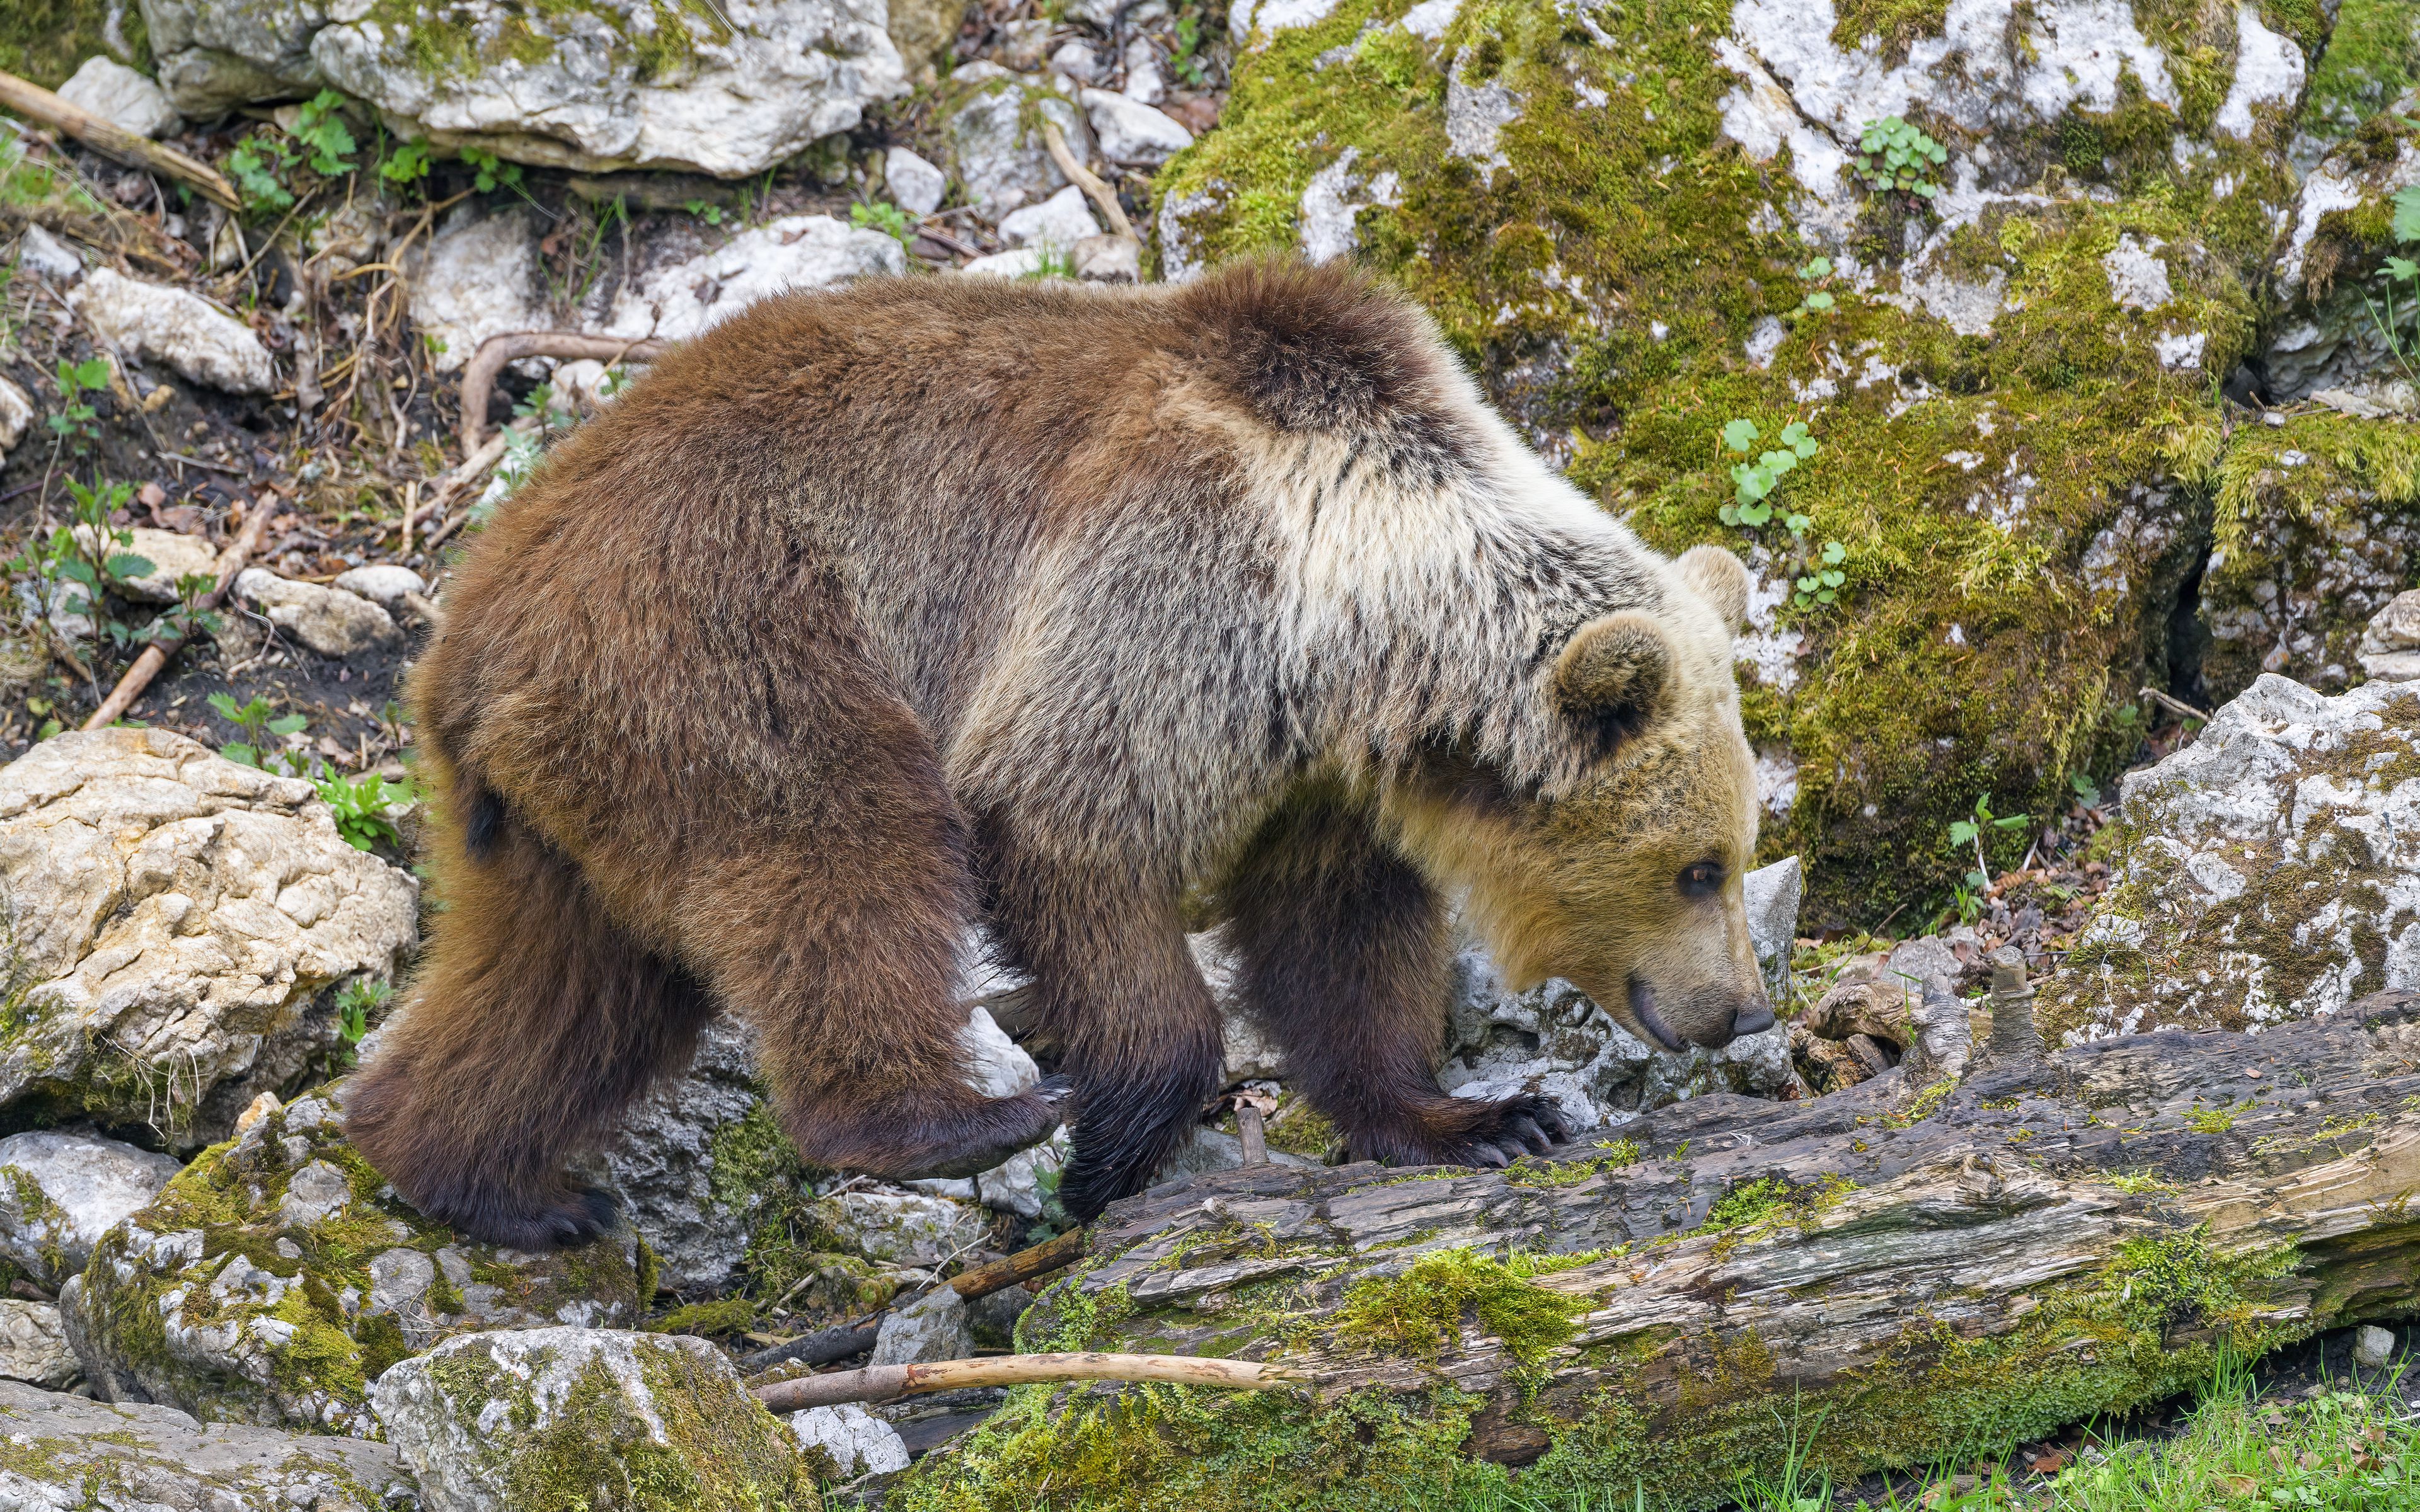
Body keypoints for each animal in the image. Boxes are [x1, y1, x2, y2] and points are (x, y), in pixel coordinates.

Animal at [350, 262, 1771, 1248]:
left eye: (1734, 848)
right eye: (1699, 866)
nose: (1745, 1007)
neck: (1341, 615)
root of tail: (471, 620)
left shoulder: (1312, 774)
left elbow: (1339, 939)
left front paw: (1478, 1118)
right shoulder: (1169, 588)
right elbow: (1063, 824)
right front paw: (1110, 1139)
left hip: (571, 786)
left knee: (571, 983)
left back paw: (482, 1178)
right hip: (723, 633)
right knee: (838, 848)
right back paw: (943, 1124)